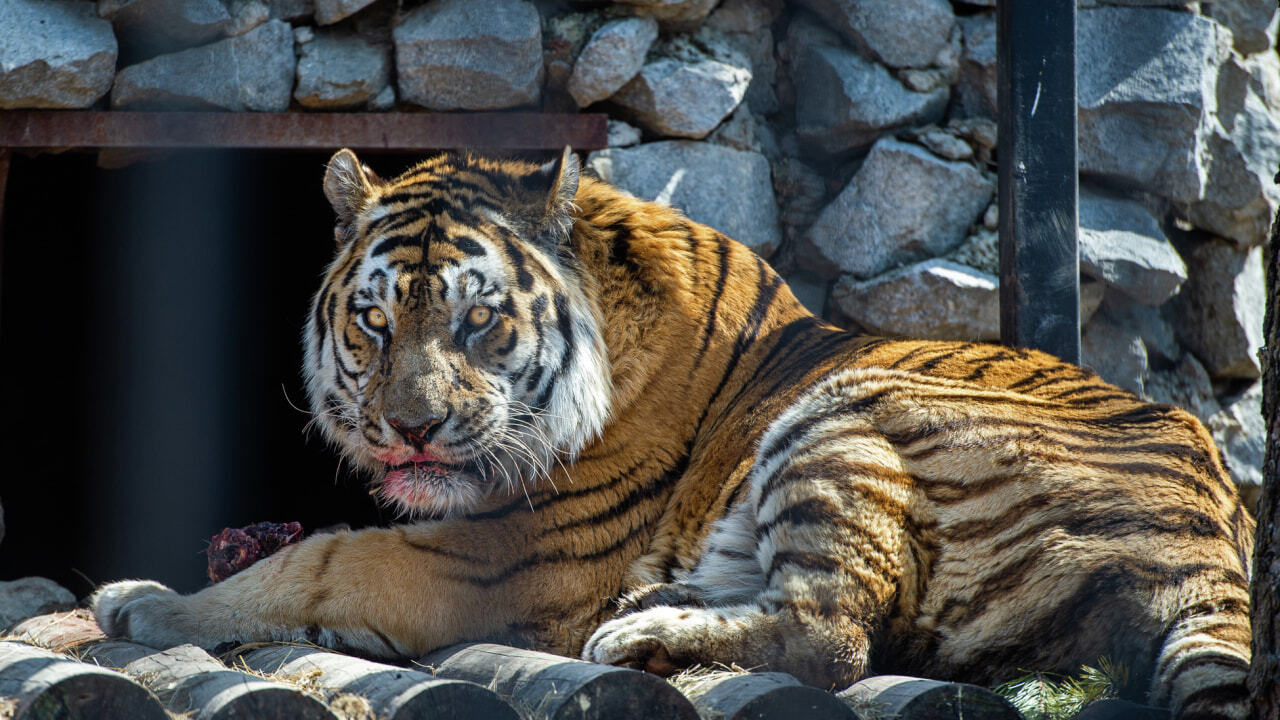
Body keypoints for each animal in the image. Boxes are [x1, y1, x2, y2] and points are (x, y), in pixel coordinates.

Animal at [94, 147, 1254, 717]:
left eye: (477, 319)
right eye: (375, 319)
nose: (409, 430)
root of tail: (1216, 544)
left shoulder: (500, 562)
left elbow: (321, 561)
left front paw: (146, 603)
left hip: (845, 416)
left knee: (832, 632)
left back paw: (640, 635)